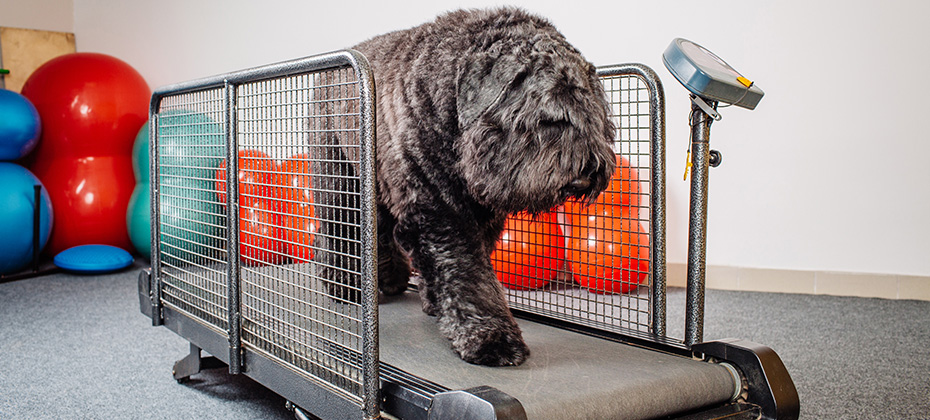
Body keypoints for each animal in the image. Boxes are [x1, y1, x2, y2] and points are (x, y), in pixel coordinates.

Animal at [316, 8, 612, 366]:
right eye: (549, 117)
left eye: (597, 118)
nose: (585, 176)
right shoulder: (440, 209)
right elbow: (467, 271)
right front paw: (490, 337)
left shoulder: (480, 213)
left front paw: (437, 302)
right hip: (341, 176)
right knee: (340, 227)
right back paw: (344, 284)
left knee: (382, 231)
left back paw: (388, 277)